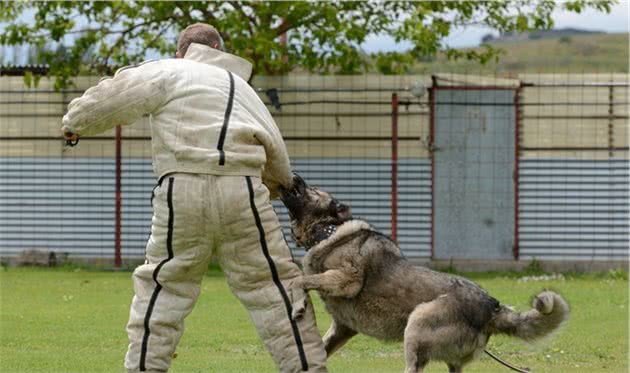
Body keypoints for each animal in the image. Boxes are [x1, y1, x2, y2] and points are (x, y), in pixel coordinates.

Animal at [282, 174, 572, 372]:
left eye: (313, 189)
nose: (294, 175)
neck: (327, 231)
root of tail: (492, 306)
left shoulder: (345, 280)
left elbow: (299, 280)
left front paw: (297, 305)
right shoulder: (343, 329)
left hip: (417, 326)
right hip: (450, 359)